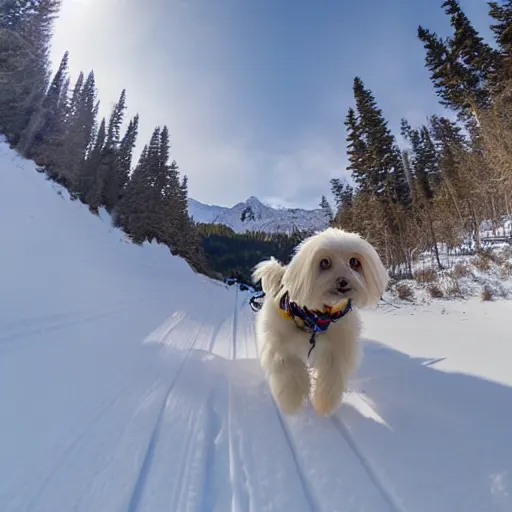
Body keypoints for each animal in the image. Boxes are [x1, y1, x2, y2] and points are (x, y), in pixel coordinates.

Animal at [252, 228, 388, 416]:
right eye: (324, 263)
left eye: (354, 261)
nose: (343, 281)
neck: (316, 318)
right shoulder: (280, 345)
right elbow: (289, 371)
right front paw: (292, 401)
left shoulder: (337, 349)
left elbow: (331, 375)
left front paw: (325, 404)